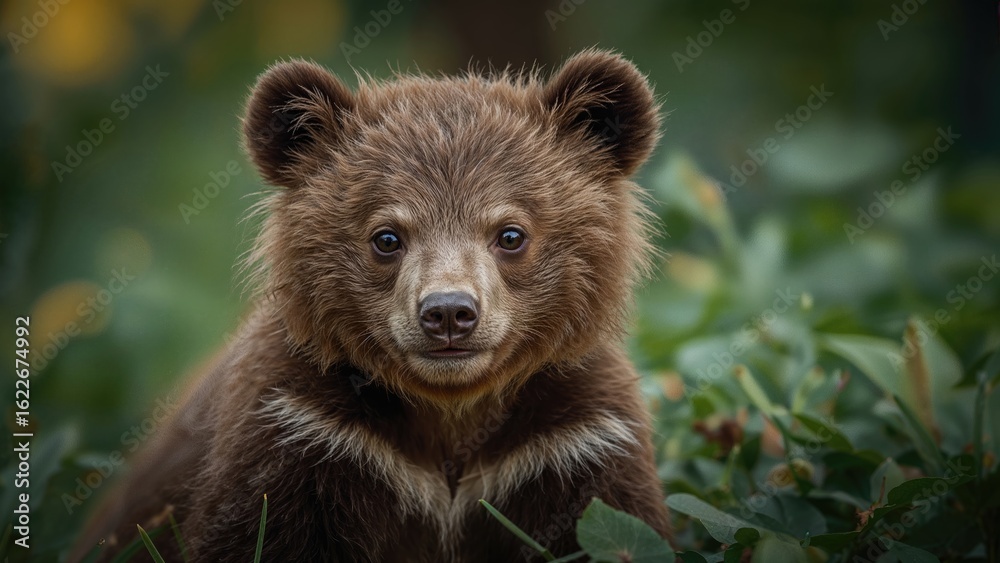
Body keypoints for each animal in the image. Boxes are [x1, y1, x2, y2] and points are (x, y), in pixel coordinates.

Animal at [72, 48, 670, 562]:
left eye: (510, 233)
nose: (448, 312)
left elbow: (611, 522)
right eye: (387, 236)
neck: (450, 414)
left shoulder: (570, 446)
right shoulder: (305, 438)